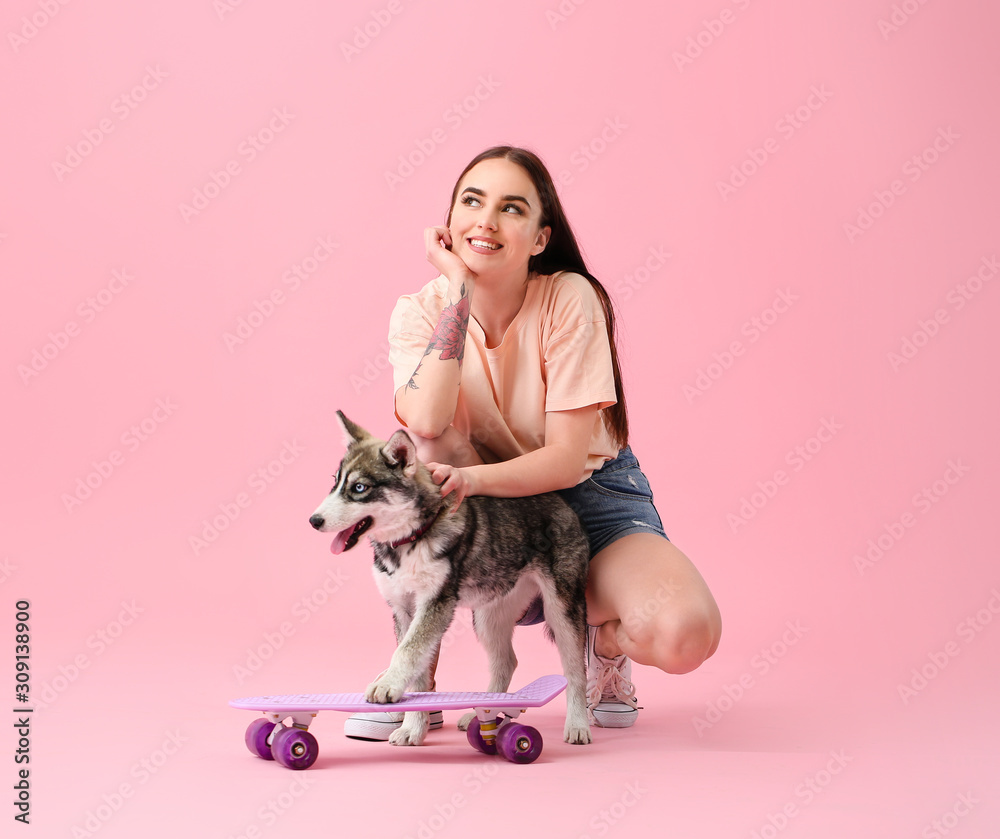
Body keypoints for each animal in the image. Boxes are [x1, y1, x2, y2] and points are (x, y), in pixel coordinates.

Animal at [310, 414, 592, 748]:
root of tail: (561, 501)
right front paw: (413, 728)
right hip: (489, 614)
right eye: (335, 483)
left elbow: (407, 652)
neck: (410, 540)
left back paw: (577, 724)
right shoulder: (404, 609)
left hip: (561, 610)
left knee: (576, 671)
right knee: (506, 661)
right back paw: (486, 711)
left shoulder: (435, 604)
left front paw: (389, 685)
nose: (314, 521)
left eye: (359, 487)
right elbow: (417, 669)